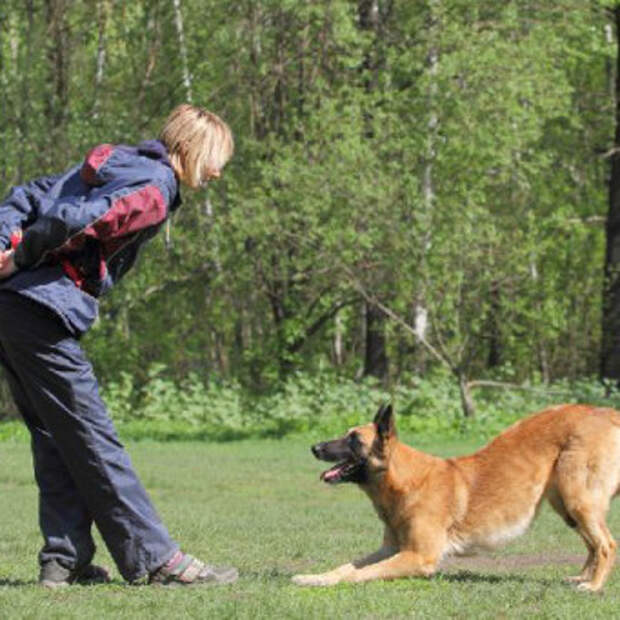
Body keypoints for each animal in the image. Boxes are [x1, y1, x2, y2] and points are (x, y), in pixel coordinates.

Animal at [292, 402, 620, 592]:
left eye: (354, 439)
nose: (314, 448)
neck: (406, 481)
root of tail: (606, 413)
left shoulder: (418, 556)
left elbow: (360, 573)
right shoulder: (390, 549)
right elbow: (347, 567)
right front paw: (314, 578)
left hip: (577, 500)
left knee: (606, 545)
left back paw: (593, 586)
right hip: (566, 506)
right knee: (592, 545)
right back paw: (581, 578)